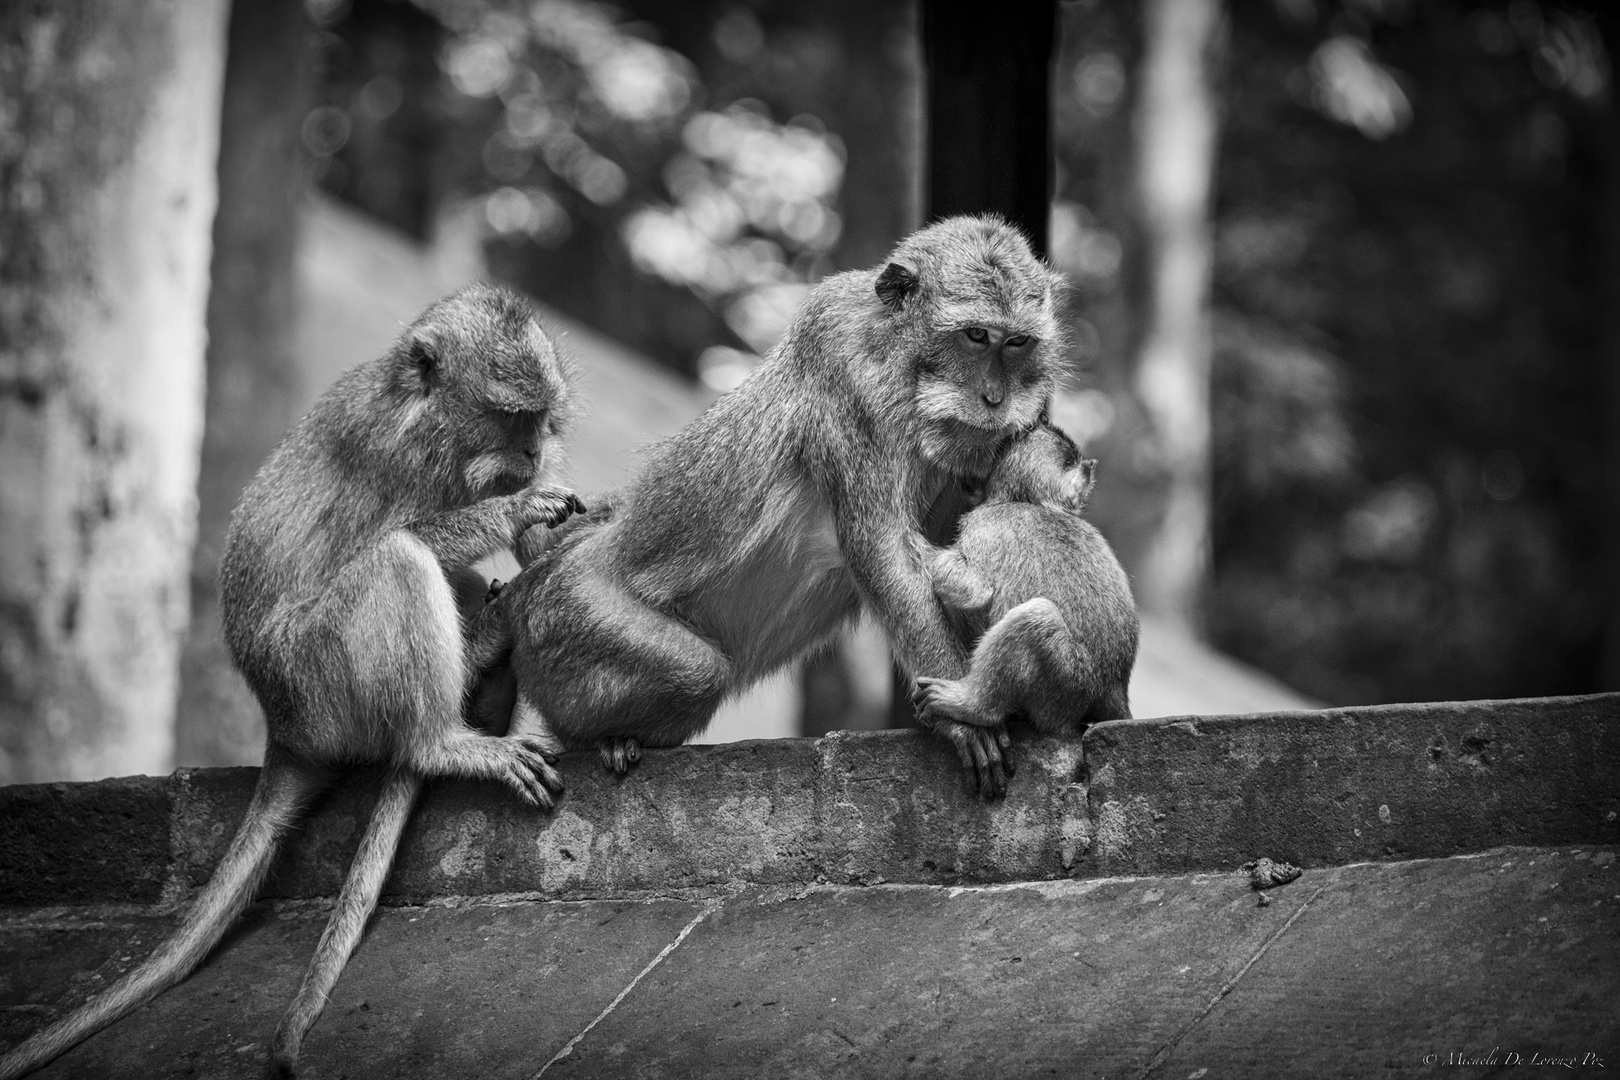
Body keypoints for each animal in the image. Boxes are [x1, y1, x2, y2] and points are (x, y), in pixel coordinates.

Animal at [0, 283, 583, 1075]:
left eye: (541, 421)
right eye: (511, 416)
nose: (532, 452)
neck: (423, 418)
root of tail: (281, 728)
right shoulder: (390, 453)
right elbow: (409, 536)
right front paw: (518, 509)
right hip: (318, 677)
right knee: (397, 561)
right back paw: (446, 734)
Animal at [469, 215, 1069, 799]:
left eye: (1017, 343)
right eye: (976, 336)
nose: (994, 399)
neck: (902, 359)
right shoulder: (847, 369)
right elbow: (883, 550)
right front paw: (964, 720)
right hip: (567, 612)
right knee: (697, 671)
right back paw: (596, 737)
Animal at [913, 420, 1140, 744]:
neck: (1029, 501)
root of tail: (1114, 690)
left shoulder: (984, 525)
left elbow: (975, 592)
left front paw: (920, 548)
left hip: (1067, 686)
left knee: (1036, 617)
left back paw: (974, 706)